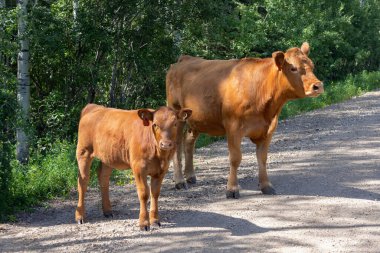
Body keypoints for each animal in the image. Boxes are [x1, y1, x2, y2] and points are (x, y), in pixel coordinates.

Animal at [166, 42, 324, 199]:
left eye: (312, 66)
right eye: (293, 68)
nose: (318, 86)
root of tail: (184, 59)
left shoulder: (268, 129)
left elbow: (262, 158)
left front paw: (266, 185)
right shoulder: (233, 127)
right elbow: (235, 158)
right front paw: (232, 189)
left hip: (197, 119)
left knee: (189, 141)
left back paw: (190, 176)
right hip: (177, 114)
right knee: (177, 145)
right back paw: (180, 181)